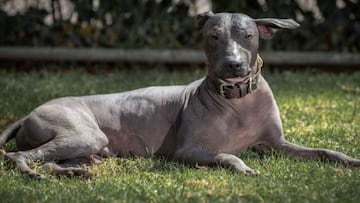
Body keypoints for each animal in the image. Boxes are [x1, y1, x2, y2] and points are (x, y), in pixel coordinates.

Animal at [0, 11, 360, 178]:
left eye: (247, 35)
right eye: (213, 36)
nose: (233, 64)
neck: (238, 101)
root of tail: (28, 113)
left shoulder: (275, 145)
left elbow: (326, 152)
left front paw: (350, 161)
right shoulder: (187, 152)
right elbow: (228, 156)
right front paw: (244, 168)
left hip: (89, 148)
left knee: (52, 160)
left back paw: (75, 172)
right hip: (83, 134)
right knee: (20, 157)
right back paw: (33, 174)